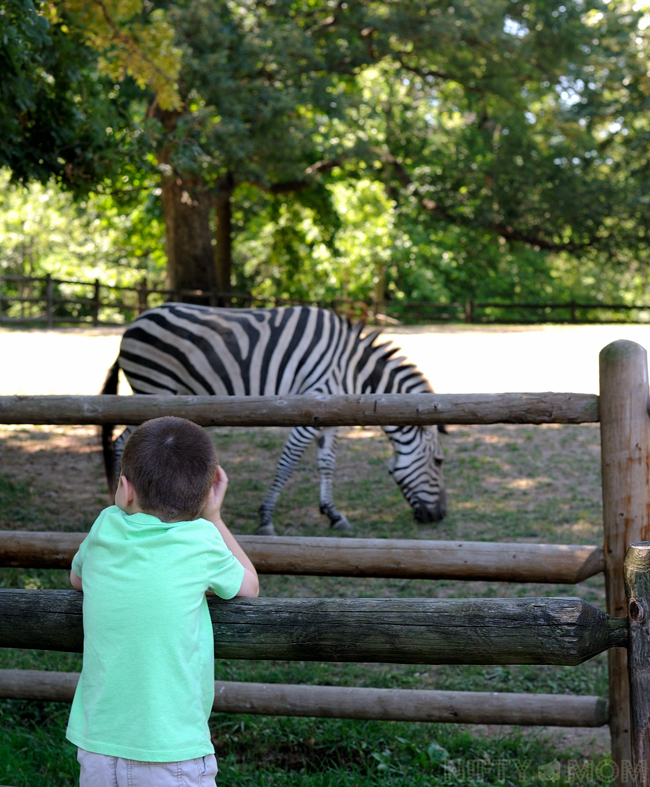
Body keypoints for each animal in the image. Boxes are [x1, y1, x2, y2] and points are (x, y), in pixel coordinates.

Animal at [101, 304, 446, 536]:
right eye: (439, 461)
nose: (440, 516)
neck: (351, 370)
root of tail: (136, 321)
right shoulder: (311, 407)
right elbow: (287, 463)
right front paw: (266, 518)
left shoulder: (331, 416)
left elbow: (327, 464)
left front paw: (333, 514)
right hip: (152, 389)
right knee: (121, 442)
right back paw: (119, 501)